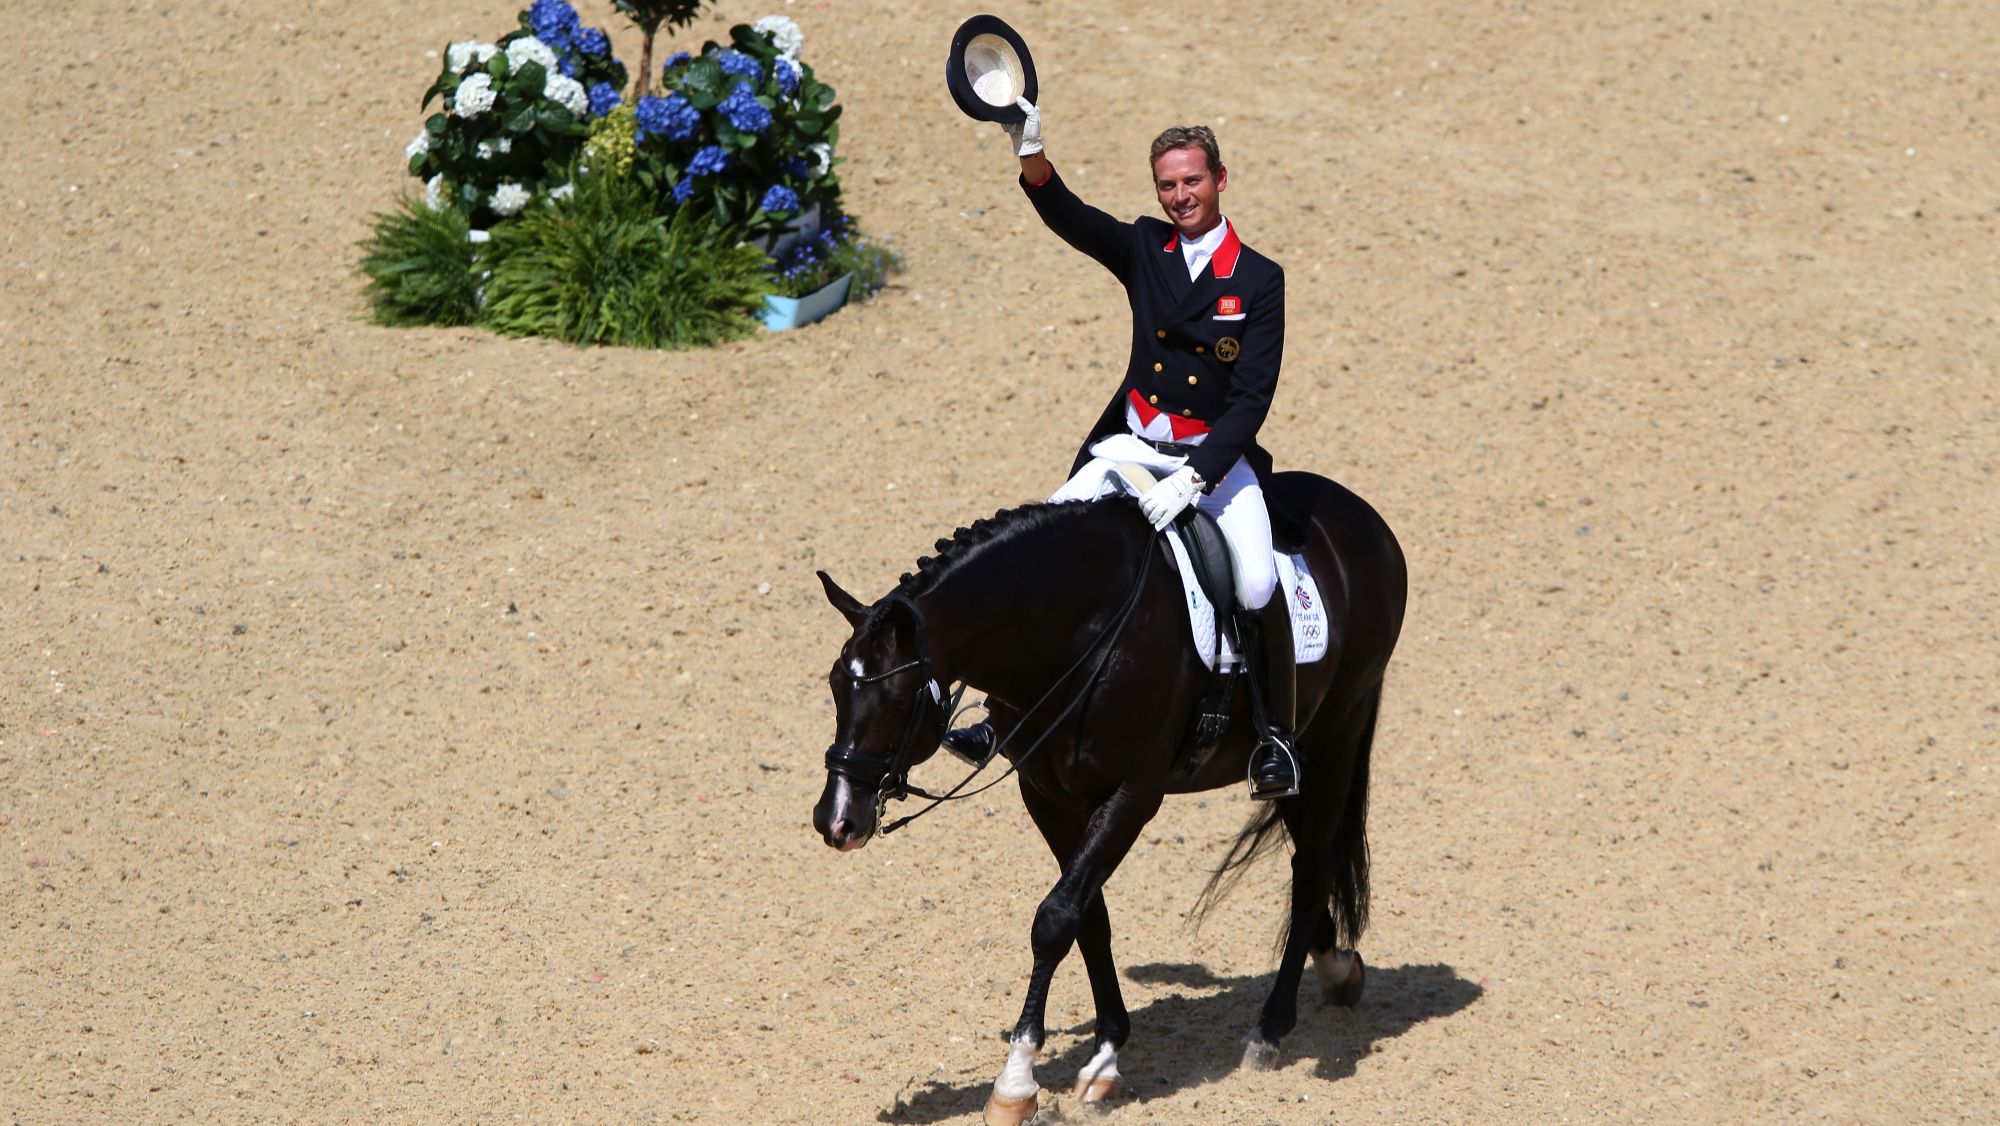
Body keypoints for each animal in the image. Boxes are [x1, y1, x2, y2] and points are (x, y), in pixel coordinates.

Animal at [810, 472, 1406, 1124]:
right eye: (835, 685)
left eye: (896, 697)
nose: (836, 820)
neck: (1078, 634)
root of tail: (1359, 513)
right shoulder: (1047, 795)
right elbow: (1087, 917)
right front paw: (1105, 1056)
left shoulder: (1133, 794)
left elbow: (1054, 919)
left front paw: (1016, 1082)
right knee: (1309, 859)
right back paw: (1338, 968)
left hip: (1335, 734)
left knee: (1314, 862)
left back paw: (1269, 1031)